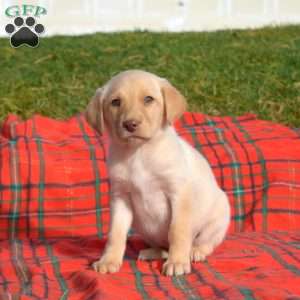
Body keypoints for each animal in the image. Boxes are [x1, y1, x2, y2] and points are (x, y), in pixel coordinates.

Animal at [85, 70, 231, 276]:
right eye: (115, 102)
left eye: (148, 99)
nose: (130, 124)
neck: (139, 152)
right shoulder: (120, 197)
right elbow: (116, 233)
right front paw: (109, 260)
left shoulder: (178, 193)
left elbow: (177, 231)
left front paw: (177, 262)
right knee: (163, 246)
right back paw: (153, 252)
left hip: (218, 217)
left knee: (206, 242)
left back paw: (194, 251)